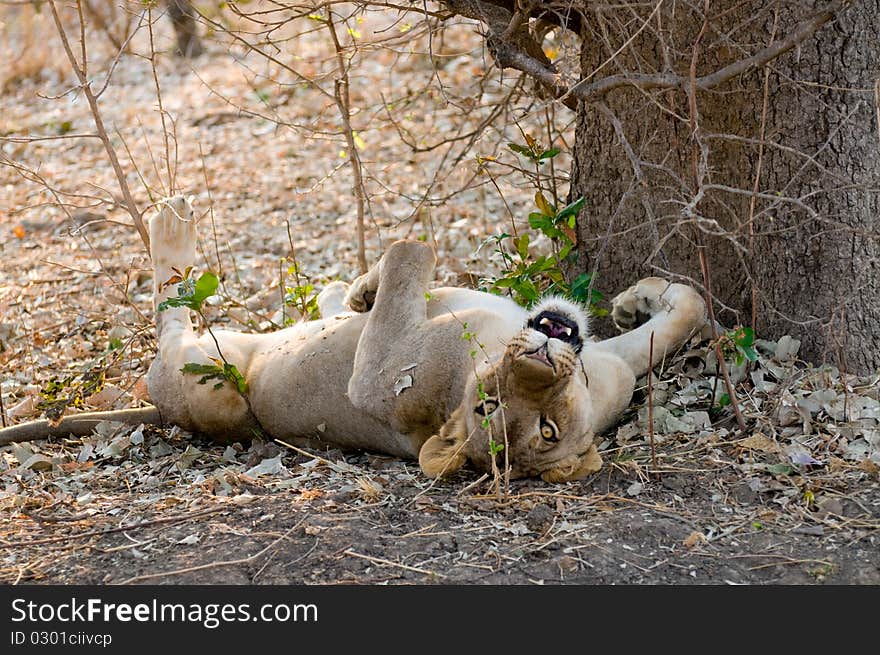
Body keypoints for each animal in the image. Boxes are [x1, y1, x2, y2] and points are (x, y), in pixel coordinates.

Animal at [0, 196, 704, 482]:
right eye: (489, 406)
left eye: (544, 428)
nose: (537, 353)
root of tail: (157, 410)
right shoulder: (610, 366)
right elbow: (683, 315)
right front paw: (642, 297)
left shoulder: (376, 382)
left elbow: (406, 252)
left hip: (212, 386)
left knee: (171, 319)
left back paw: (170, 230)